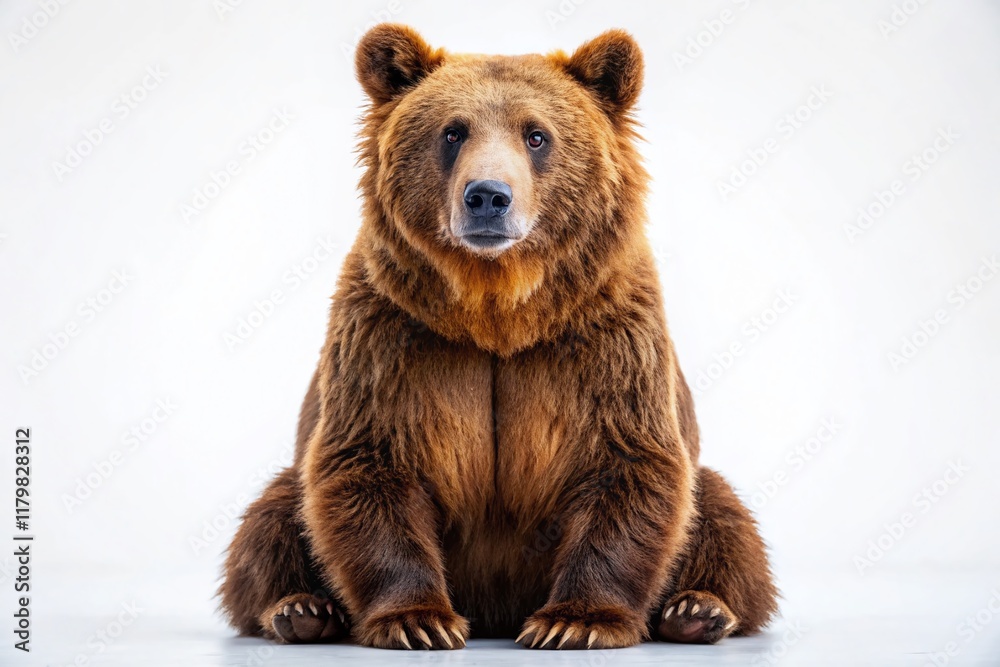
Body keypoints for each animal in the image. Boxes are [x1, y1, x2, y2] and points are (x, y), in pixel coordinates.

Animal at [219, 24, 778, 650]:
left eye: (536, 135)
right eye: (452, 131)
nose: (488, 195)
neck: (497, 309)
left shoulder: (606, 336)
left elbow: (629, 462)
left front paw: (574, 620)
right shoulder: (393, 334)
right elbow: (369, 460)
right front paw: (419, 620)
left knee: (724, 516)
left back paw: (698, 609)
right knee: (272, 515)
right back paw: (300, 609)